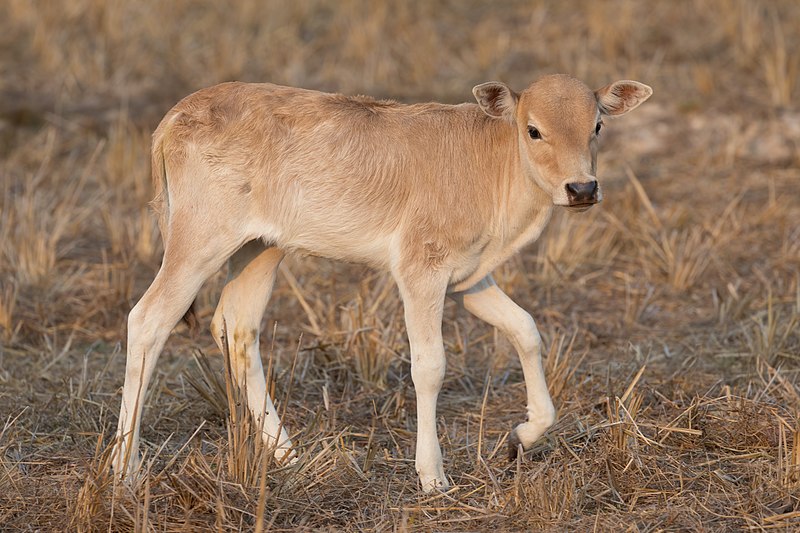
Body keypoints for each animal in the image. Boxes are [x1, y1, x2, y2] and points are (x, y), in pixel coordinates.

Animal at [111, 74, 648, 490]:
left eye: (597, 125)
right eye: (533, 130)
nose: (581, 188)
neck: (490, 160)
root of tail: (176, 115)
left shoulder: (468, 279)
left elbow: (526, 330)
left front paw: (523, 436)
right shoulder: (420, 271)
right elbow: (430, 366)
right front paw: (432, 477)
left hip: (260, 248)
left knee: (236, 327)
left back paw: (287, 455)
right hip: (200, 241)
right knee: (149, 320)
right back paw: (124, 470)